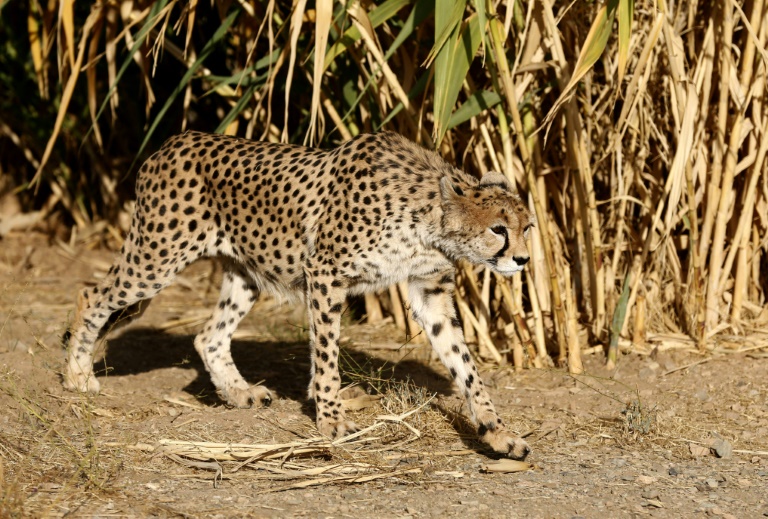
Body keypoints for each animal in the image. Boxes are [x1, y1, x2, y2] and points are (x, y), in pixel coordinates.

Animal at [64, 131, 536, 460]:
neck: (428, 219)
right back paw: (77, 376)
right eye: (499, 229)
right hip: (156, 259)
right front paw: (331, 419)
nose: (524, 260)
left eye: (527, 226)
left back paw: (238, 393)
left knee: (208, 335)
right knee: (91, 295)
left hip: (246, 273)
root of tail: (171, 143)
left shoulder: (430, 291)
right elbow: (326, 355)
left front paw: (498, 433)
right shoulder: (325, 275)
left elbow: (466, 366)